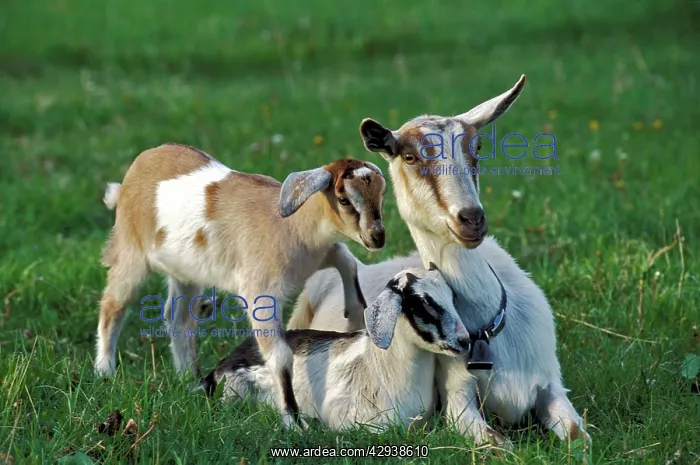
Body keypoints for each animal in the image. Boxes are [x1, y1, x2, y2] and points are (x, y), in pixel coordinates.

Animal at [94, 142, 387, 430]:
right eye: (344, 199)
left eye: (382, 195)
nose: (377, 237)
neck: (290, 225)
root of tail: (131, 176)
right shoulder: (261, 294)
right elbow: (281, 355)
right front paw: (293, 422)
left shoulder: (319, 256)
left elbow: (346, 258)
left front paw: (355, 313)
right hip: (131, 252)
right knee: (113, 306)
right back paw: (105, 371)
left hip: (184, 271)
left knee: (178, 318)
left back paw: (189, 378)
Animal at [288, 75, 592, 446]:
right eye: (408, 155)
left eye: (477, 147)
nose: (471, 219)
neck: (489, 328)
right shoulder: (458, 400)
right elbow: (499, 445)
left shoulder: (551, 385)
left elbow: (579, 437)